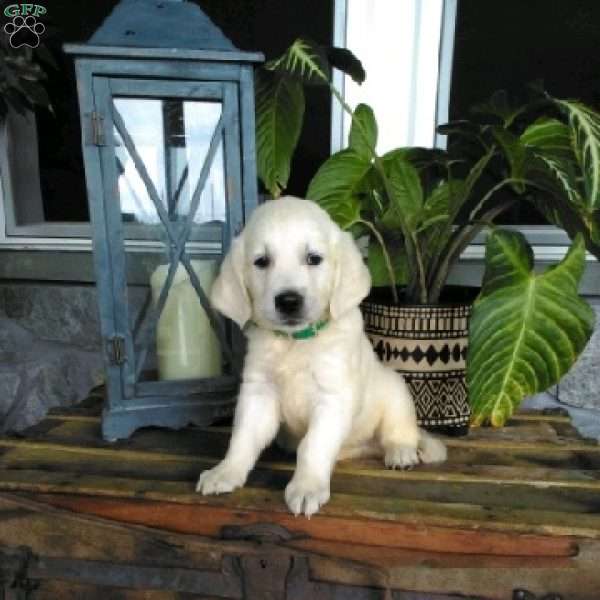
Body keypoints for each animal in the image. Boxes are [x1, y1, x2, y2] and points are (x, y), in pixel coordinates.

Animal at [197, 197, 446, 516]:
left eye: (313, 258)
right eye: (261, 261)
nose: (289, 301)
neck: (296, 342)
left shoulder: (333, 396)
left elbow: (312, 446)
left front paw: (307, 487)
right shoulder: (259, 392)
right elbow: (243, 438)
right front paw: (225, 471)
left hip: (396, 392)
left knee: (399, 432)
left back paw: (401, 452)